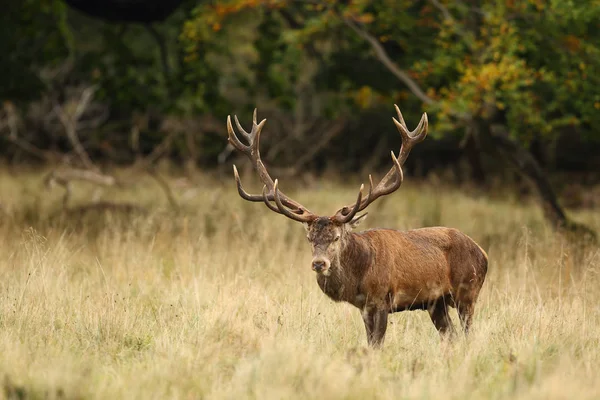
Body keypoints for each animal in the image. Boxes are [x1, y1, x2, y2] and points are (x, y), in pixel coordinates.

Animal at [225, 105, 488, 346]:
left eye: (336, 237)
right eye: (310, 239)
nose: (319, 263)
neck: (360, 275)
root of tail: (483, 253)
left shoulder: (382, 298)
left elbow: (377, 345)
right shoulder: (364, 307)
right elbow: (370, 343)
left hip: (468, 291)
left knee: (467, 334)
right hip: (436, 303)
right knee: (451, 336)